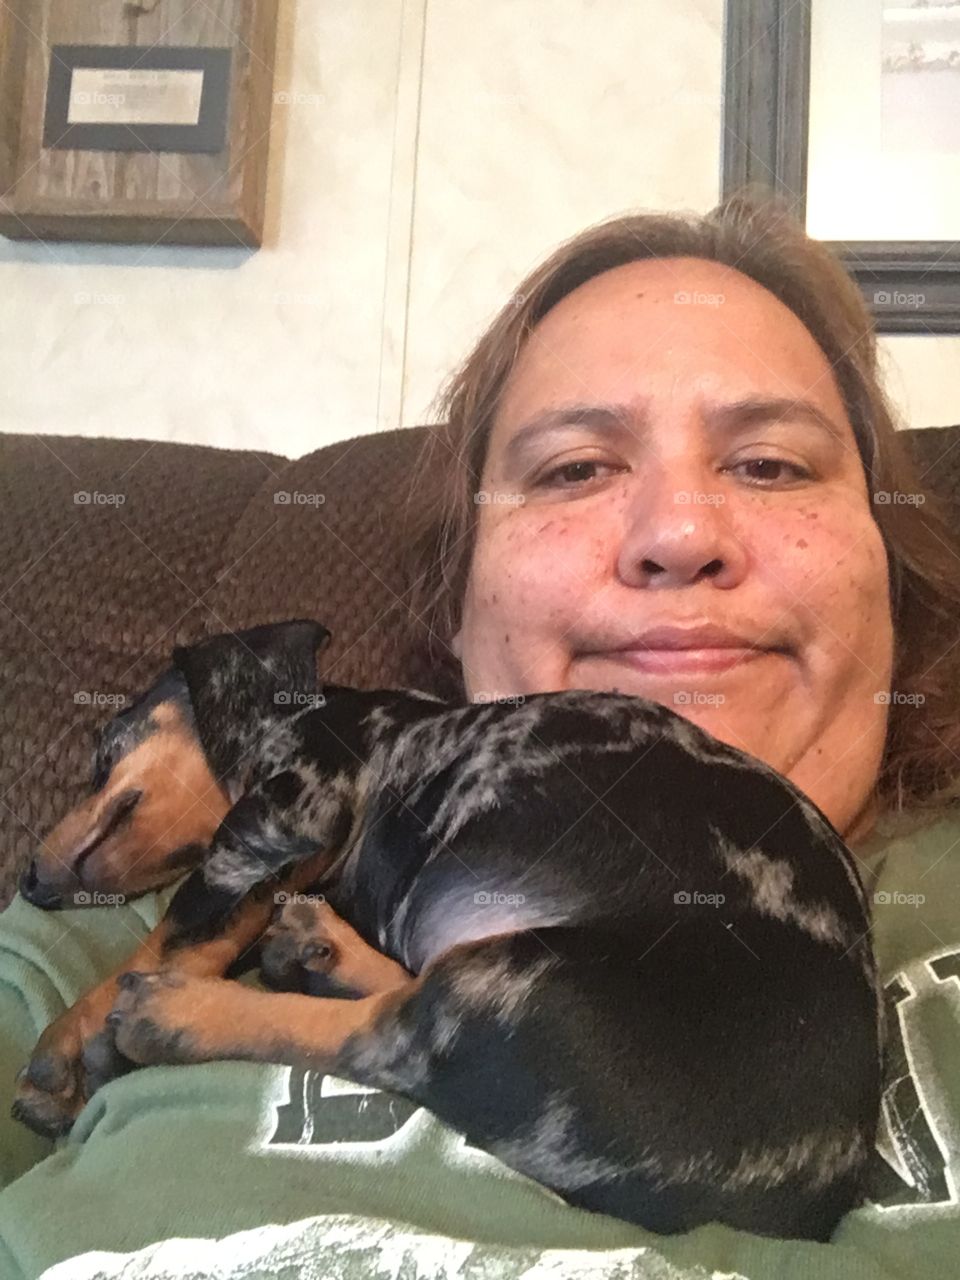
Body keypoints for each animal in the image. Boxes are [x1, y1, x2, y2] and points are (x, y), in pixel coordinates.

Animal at [13, 619, 885, 1239]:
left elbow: (172, 933)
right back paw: (319, 949)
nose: (25, 879)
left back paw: (175, 1015)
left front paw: (64, 1048)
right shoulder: (291, 851)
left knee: (377, 1038)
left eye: (103, 752)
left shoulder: (284, 813)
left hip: (525, 980)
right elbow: (219, 925)